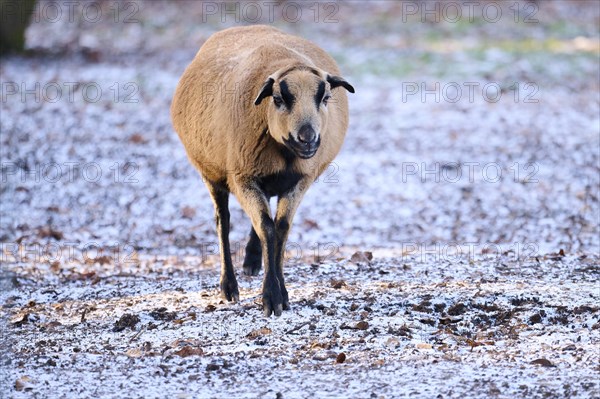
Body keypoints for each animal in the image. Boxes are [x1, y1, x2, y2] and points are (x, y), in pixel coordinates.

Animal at [169, 25, 354, 318]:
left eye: (325, 98)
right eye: (278, 99)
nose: (308, 139)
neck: (285, 155)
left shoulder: (300, 180)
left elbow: (280, 227)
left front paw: (281, 292)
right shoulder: (242, 177)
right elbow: (267, 227)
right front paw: (272, 297)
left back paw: (252, 261)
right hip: (211, 172)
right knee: (223, 221)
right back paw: (229, 286)